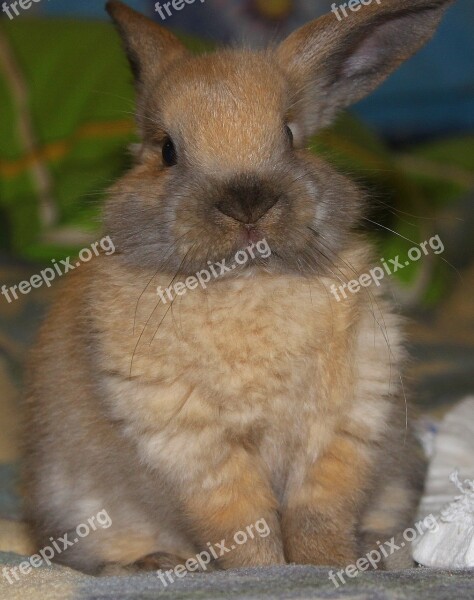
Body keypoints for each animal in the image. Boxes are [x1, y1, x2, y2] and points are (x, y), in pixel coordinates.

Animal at [22, 0, 452, 576]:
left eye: (290, 135)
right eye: (167, 151)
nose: (248, 204)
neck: (246, 280)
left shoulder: (342, 425)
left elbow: (319, 514)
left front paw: (330, 568)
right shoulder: (191, 446)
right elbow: (244, 524)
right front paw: (265, 574)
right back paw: (154, 564)